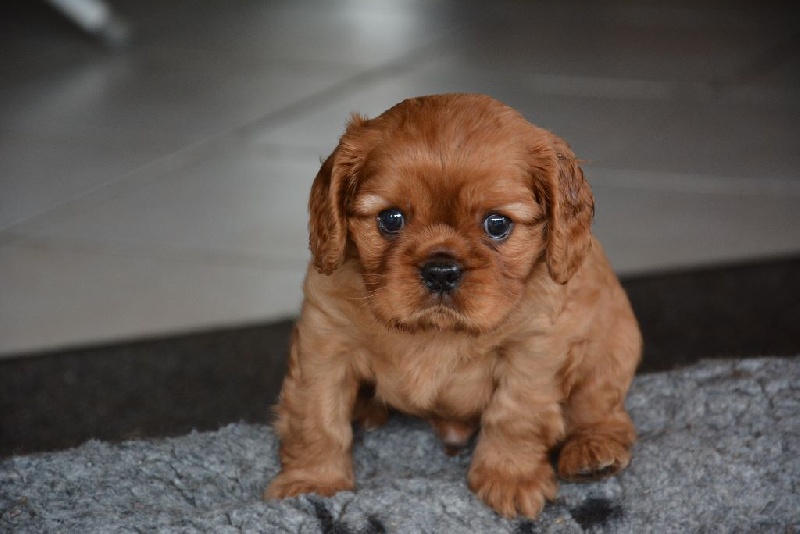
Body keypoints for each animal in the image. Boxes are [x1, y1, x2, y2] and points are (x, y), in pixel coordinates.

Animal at [266, 93, 640, 520]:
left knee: (600, 407)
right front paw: (313, 482)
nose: (441, 271)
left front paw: (509, 478)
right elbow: (317, 414)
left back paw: (593, 451)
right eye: (391, 219)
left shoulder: (534, 349)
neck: (436, 331)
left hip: (613, 345)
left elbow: (515, 414)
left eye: (497, 224)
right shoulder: (325, 341)